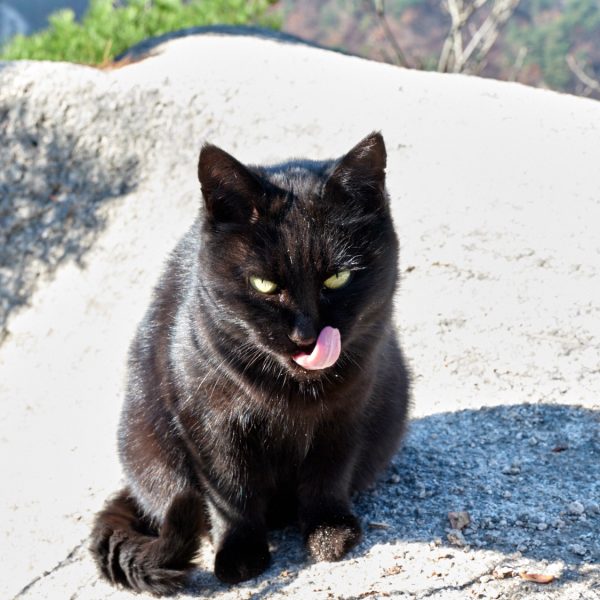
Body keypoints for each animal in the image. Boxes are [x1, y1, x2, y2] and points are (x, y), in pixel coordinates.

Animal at [90, 132, 410, 595]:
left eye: (337, 278)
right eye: (264, 284)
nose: (306, 335)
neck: (293, 394)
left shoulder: (349, 410)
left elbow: (329, 472)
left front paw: (330, 532)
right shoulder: (209, 422)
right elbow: (231, 490)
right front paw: (239, 555)